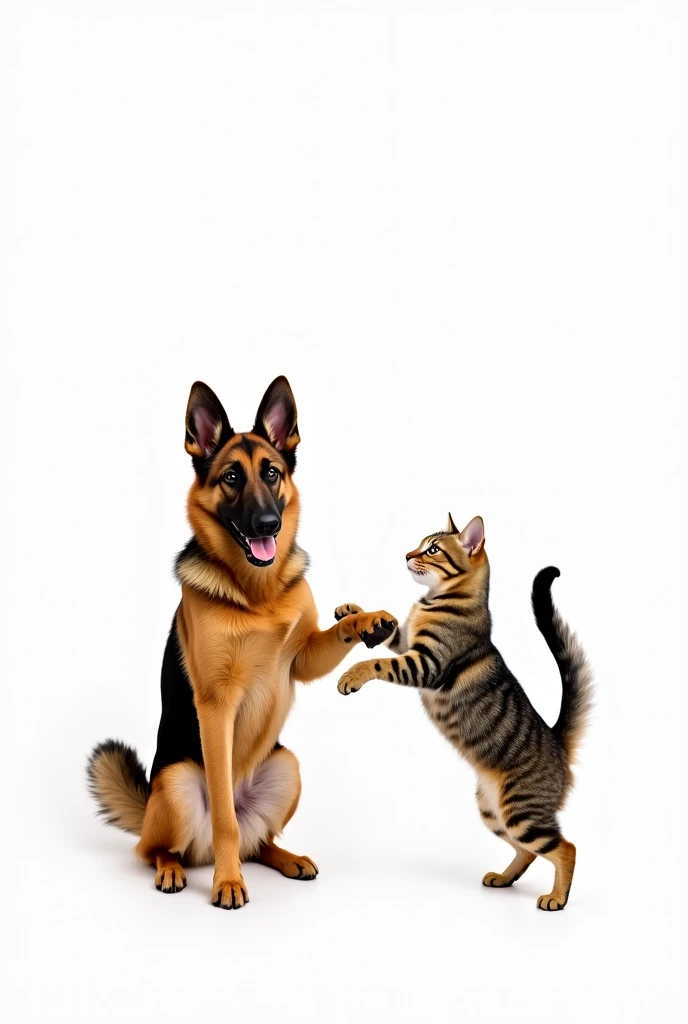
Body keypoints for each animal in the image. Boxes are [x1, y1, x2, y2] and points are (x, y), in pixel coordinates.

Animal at [88, 380, 395, 909]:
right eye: (231, 477)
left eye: (271, 473)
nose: (269, 524)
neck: (258, 594)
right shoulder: (216, 705)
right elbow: (227, 827)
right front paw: (228, 883)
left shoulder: (301, 659)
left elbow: (329, 636)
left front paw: (367, 619)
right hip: (176, 783)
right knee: (163, 846)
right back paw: (175, 869)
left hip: (286, 765)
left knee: (259, 840)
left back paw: (286, 858)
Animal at [337, 512, 589, 913]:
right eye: (419, 544)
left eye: (432, 550)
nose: (407, 555)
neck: (436, 599)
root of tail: (557, 740)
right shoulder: (408, 643)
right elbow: (389, 627)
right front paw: (355, 612)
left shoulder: (425, 664)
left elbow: (376, 662)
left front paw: (352, 674)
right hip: (494, 813)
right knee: (528, 853)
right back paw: (503, 878)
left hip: (522, 813)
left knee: (566, 848)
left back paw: (556, 898)